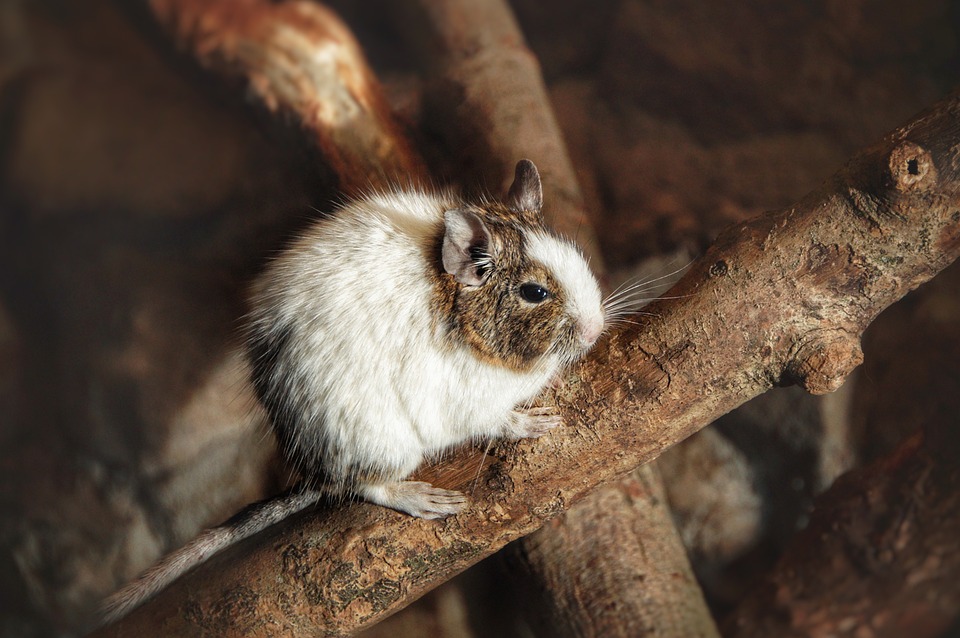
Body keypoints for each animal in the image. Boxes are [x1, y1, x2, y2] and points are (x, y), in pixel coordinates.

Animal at [101, 159, 606, 623]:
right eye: (535, 292)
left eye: (577, 255)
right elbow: (497, 420)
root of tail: (317, 472)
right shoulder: (464, 400)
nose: (595, 330)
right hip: (388, 444)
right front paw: (531, 422)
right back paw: (421, 498)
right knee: (365, 485)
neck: (463, 315)